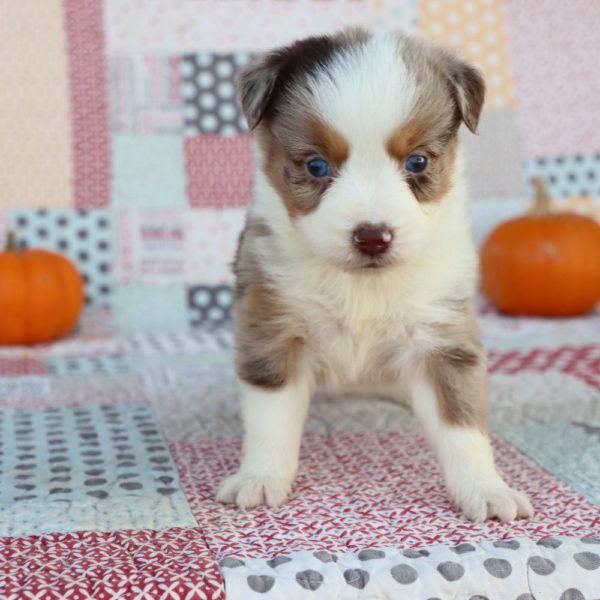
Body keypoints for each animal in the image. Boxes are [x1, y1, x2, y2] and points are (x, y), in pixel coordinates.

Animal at [217, 30, 536, 524]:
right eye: (316, 166)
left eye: (418, 162)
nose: (372, 237)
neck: (362, 284)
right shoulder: (274, 326)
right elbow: (271, 417)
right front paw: (260, 477)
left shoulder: (442, 335)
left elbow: (462, 423)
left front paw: (484, 488)